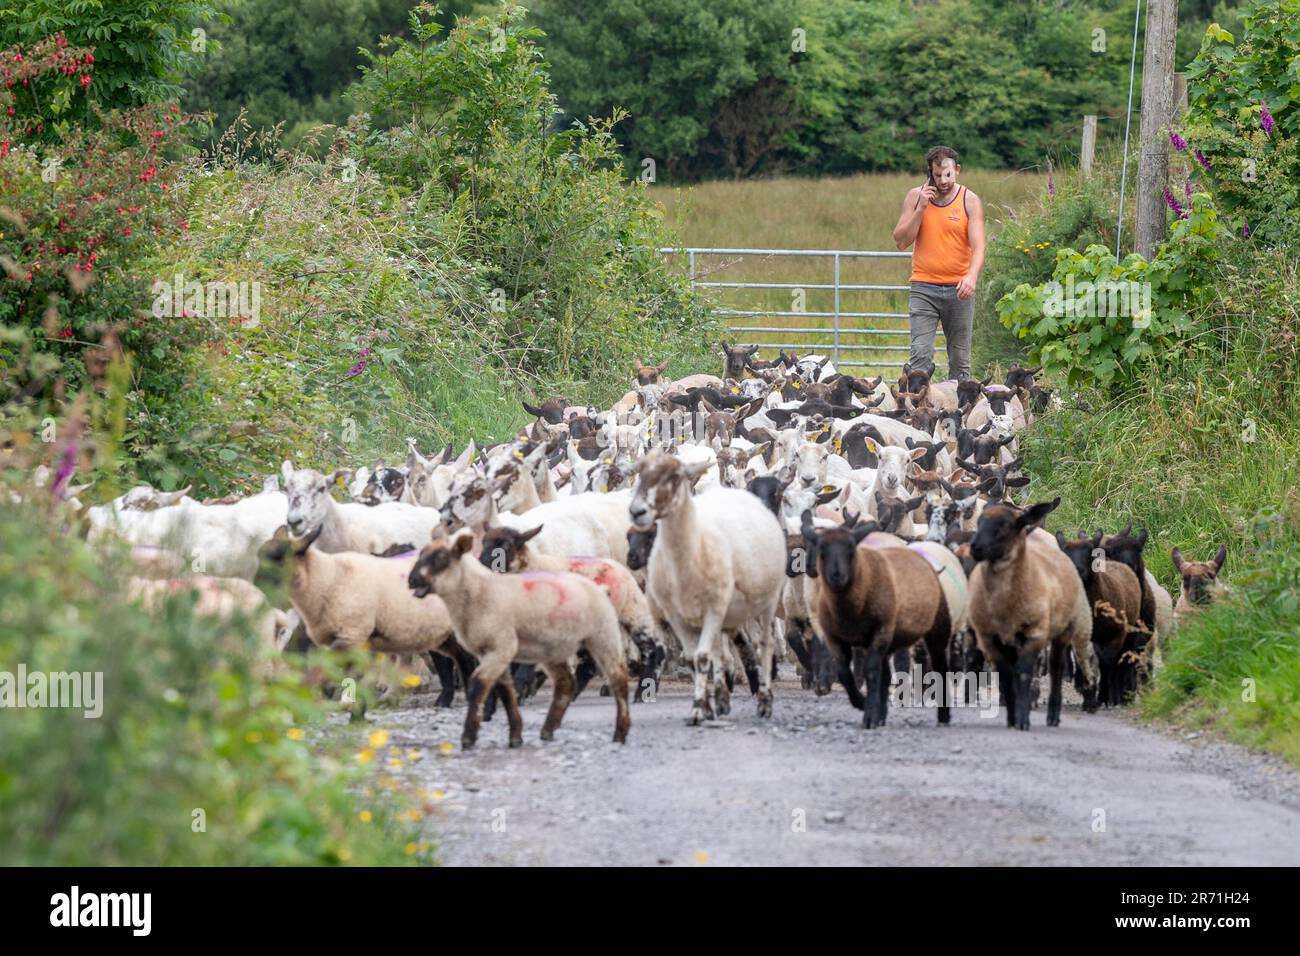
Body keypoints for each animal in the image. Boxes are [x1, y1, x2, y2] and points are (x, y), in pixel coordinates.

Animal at [405, 530, 629, 749]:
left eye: (441, 559)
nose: (411, 580)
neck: (480, 592)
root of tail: (600, 588)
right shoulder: (493, 651)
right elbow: (503, 688)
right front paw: (512, 731)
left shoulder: (501, 648)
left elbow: (480, 683)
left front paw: (470, 735)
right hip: (554, 648)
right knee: (567, 681)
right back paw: (548, 729)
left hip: (603, 635)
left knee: (618, 677)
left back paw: (620, 731)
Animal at [626, 452, 780, 723]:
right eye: (641, 474)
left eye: (674, 477)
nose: (637, 511)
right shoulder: (672, 617)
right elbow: (690, 657)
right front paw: (706, 703)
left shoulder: (712, 610)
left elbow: (703, 655)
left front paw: (701, 706)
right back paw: (724, 694)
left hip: (765, 603)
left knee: (761, 645)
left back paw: (762, 697)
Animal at [967, 496, 1097, 728]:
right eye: (980, 521)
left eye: (1005, 526)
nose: (975, 548)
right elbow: (1007, 670)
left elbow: (1026, 669)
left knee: (1055, 665)